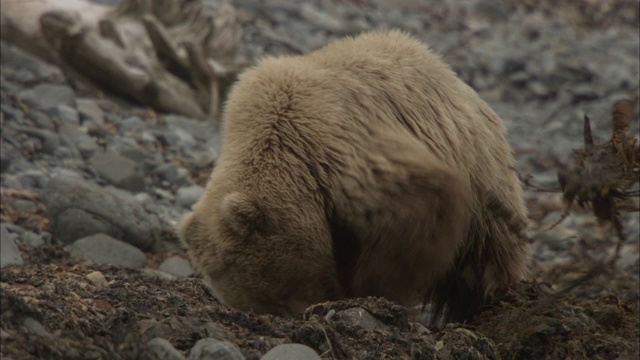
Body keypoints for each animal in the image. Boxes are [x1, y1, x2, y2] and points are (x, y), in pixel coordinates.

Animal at [180, 30, 528, 324]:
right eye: (263, 301)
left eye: (284, 291)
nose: (302, 311)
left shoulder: (338, 148)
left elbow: (420, 208)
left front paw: (371, 294)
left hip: (480, 173)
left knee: (484, 257)